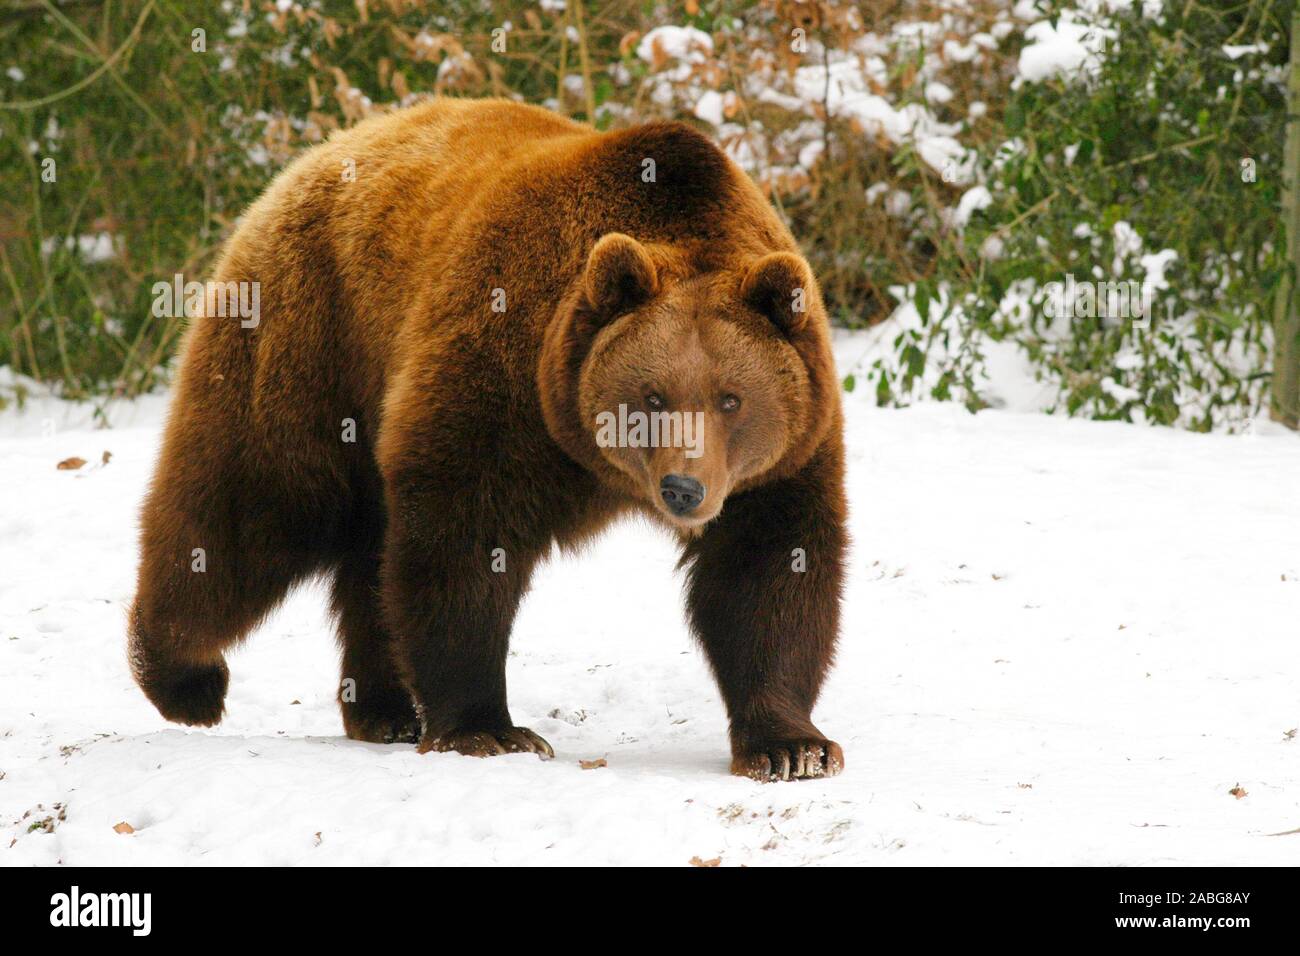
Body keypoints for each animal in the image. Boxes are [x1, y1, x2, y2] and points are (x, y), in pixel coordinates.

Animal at [126, 98, 847, 785]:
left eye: (731, 398)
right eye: (652, 396)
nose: (683, 489)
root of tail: (311, 160)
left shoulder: (780, 457)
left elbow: (768, 568)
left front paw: (792, 746)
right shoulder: (502, 380)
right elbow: (464, 542)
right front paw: (490, 729)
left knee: (363, 554)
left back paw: (382, 709)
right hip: (310, 335)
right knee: (252, 504)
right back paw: (182, 678)